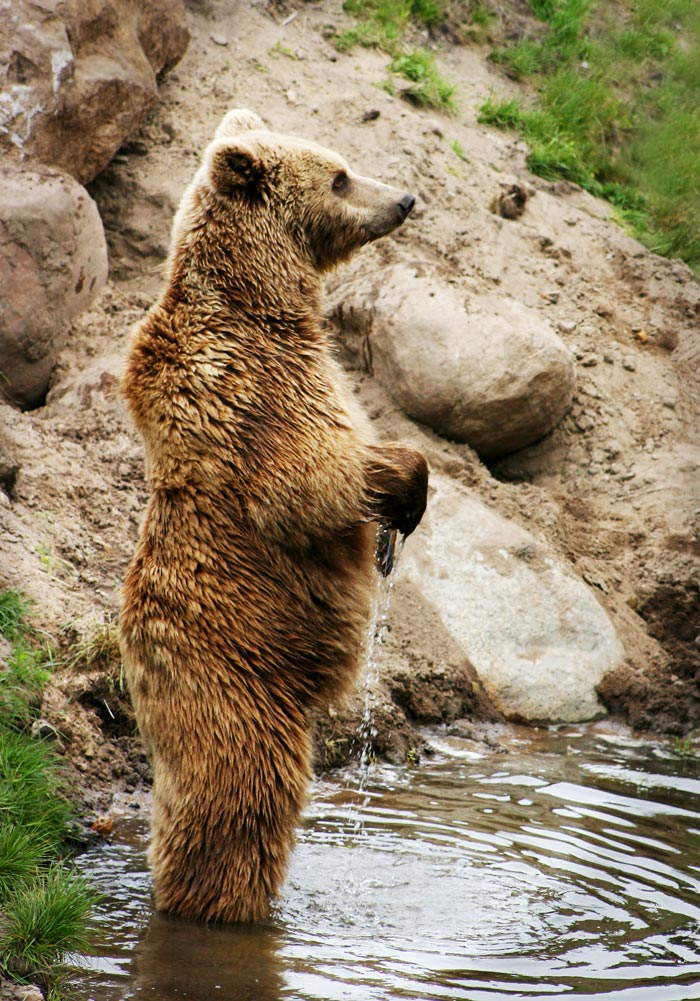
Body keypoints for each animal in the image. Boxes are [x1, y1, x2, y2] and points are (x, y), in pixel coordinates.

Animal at [119, 109, 426, 920]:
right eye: (341, 176)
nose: (405, 197)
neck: (262, 300)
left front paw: (392, 534)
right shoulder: (258, 389)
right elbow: (309, 482)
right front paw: (406, 490)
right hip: (237, 684)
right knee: (243, 799)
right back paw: (221, 903)